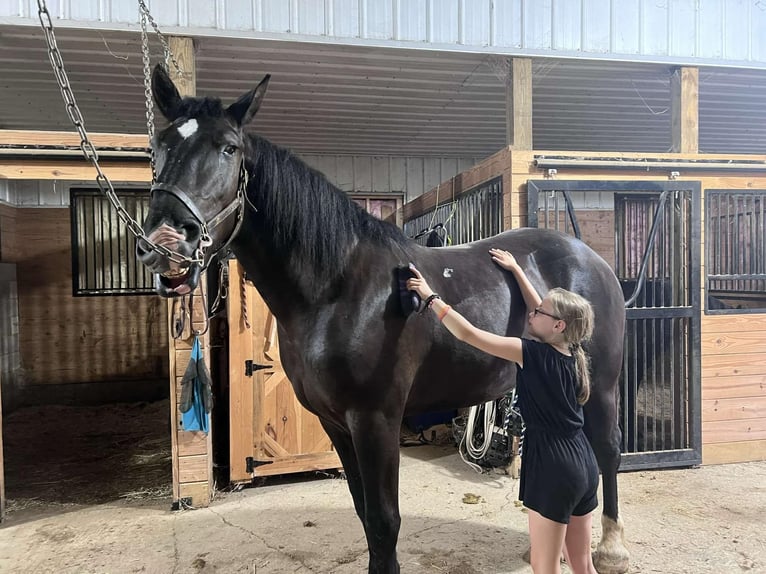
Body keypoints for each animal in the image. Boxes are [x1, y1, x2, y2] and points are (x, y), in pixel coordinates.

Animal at [136, 65, 632, 572]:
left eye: (229, 148)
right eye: (159, 145)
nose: (165, 245)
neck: (338, 288)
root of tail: (589, 257)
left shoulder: (375, 420)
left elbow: (384, 520)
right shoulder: (336, 424)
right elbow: (364, 513)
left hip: (601, 383)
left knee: (607, 449)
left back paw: (611, 547)